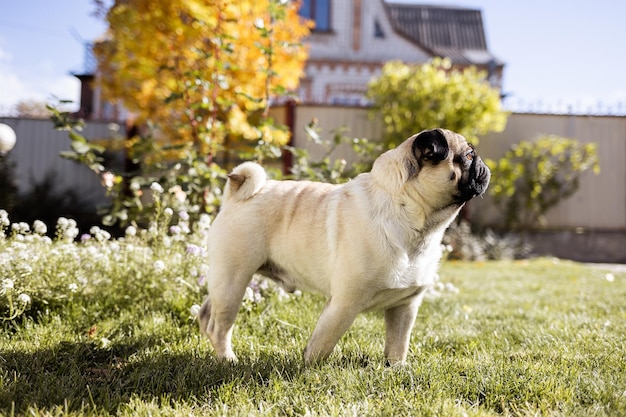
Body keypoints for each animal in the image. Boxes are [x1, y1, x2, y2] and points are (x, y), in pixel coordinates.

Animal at [195, 127, 488, 364]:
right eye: (468, 156)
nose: (485, 167)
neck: (415, 219)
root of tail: (237, 193)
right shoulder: (344, 303)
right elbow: (322, 344)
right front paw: (308, 371)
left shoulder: (405, 306)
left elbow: (398, 345)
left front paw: (397, 369)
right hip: (233, 279)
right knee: (219, 326)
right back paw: (228, 360)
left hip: (227, 282)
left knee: (206, 315)